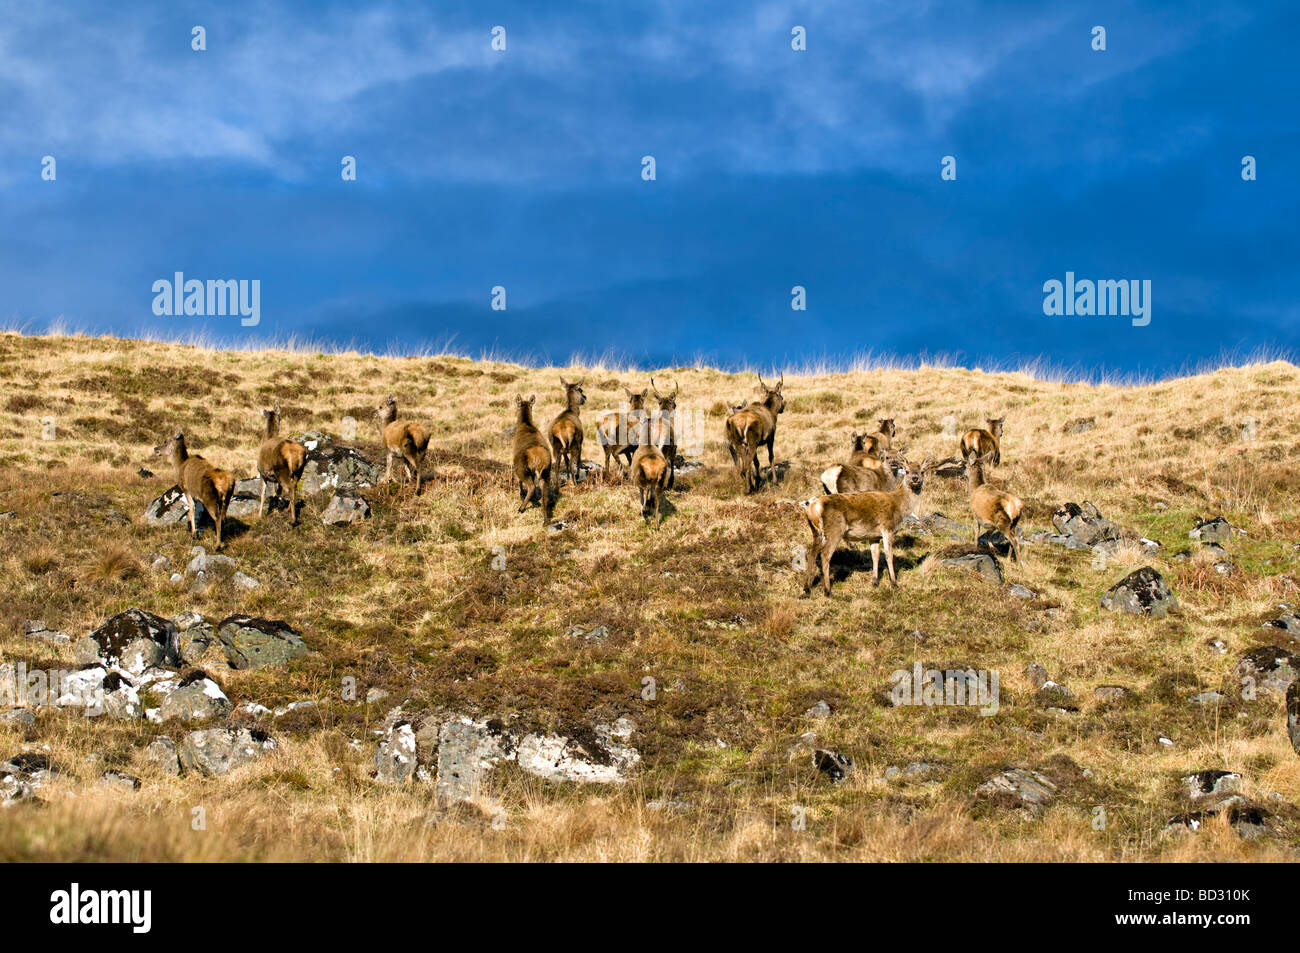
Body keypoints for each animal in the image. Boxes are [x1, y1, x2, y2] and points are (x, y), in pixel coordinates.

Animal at [509, 395, 551, 525]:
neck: (525, 424)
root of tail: (539, 460)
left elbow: (519, 482)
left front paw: (521, 494)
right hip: (546, 472)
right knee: (545, 495)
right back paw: (545, 520)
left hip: (522, 468)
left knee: (531, 486)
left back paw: (521, 508)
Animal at [795, 455, 930, 595]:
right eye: (907, 471)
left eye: (923, 471)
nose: (915, 479)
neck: (899, 506)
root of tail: (813, 507)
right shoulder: (887, 527)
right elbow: (889, 555)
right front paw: (894, 583)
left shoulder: (874, 535)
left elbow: (875, 556)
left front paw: (875, 582)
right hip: (834, 530)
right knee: (825, 555)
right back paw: (827, 590)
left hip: (816, 532)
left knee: (811, 553)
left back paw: (806, 588)